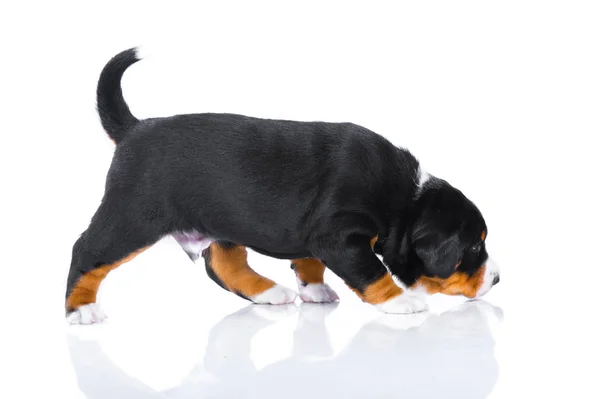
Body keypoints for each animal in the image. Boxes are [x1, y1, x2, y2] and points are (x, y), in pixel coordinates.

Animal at [65, 49, 500, 324]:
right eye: (473, 248)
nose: (497, 279)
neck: (404, 202)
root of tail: (135, 128)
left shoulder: (314, 236)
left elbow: (308, 262)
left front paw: (314, 291)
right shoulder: (338, 236)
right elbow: (371, 270)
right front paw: (400, 300)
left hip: (223, 220)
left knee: (224, 265)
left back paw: (268, 293)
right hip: (133, 217)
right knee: (87, 252)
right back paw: (81, 310)